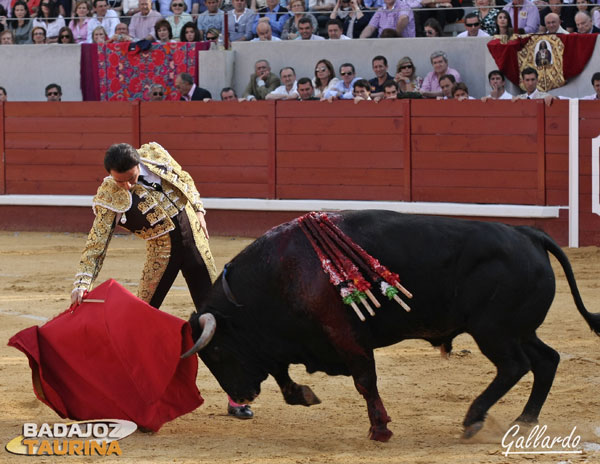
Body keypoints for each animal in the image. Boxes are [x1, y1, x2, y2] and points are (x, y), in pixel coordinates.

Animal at [185, 210, 596, 442]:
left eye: (216, 351)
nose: (243, 397)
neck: (280, 271)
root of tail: (529, 234)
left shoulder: (345, 337)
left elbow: (365, 381)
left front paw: (380, 429)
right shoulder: (289, 341)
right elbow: (284, 376)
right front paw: (306, 395)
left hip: (493, 331)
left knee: (515, 366)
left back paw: (473, 419)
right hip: (519, 330)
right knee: (546, 359)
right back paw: (524, 420)